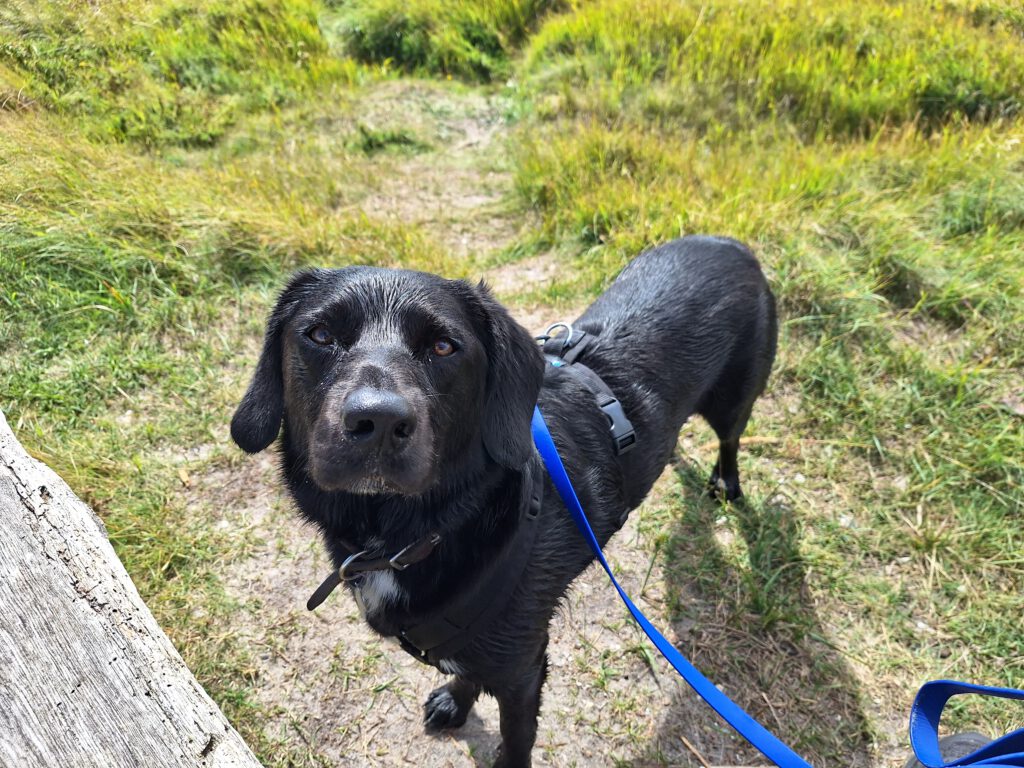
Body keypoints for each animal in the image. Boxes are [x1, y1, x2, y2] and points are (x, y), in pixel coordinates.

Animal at [232, 237, 774, 765]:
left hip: (735, 399)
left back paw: (726, 484)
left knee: (731, 437)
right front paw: (456, 699)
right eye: (320, 335)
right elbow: (467, 671)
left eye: (444, 346)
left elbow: (516, 740)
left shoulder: (523, 669)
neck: (407, 534)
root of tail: (731, 244)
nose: (378, 420)